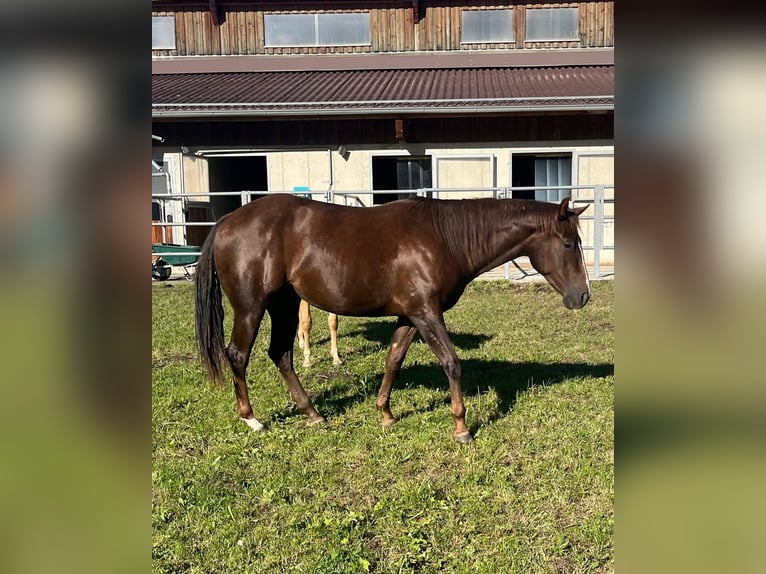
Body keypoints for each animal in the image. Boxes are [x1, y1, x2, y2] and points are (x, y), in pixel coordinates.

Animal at [195, 194, 590, 443]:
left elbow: (393, 361)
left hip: (285, 304)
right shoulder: (426, 312)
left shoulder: (409, 316)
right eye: (568, 244)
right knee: (238, 355)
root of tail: (227, 220)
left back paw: (313, 413)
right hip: (252, 307)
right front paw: (461, 426)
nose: (583, 296)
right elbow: (452, 362)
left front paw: (385, 414)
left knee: (281, 354)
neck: (445, 237)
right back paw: (252, 418)